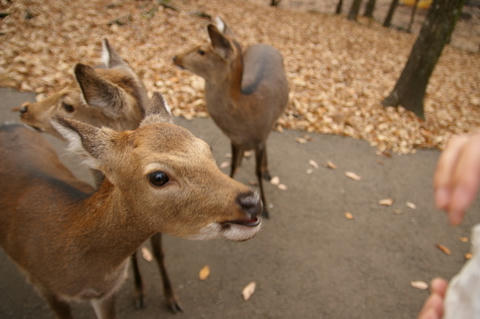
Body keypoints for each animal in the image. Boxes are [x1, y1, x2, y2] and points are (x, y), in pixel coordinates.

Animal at [172, 16, 288, 219]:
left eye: (202, 51)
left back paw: (267, 170)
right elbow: (232, 166)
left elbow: (257, 172)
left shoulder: (259, 137)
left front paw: (266, 208)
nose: (175, 57)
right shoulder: (234, 139)